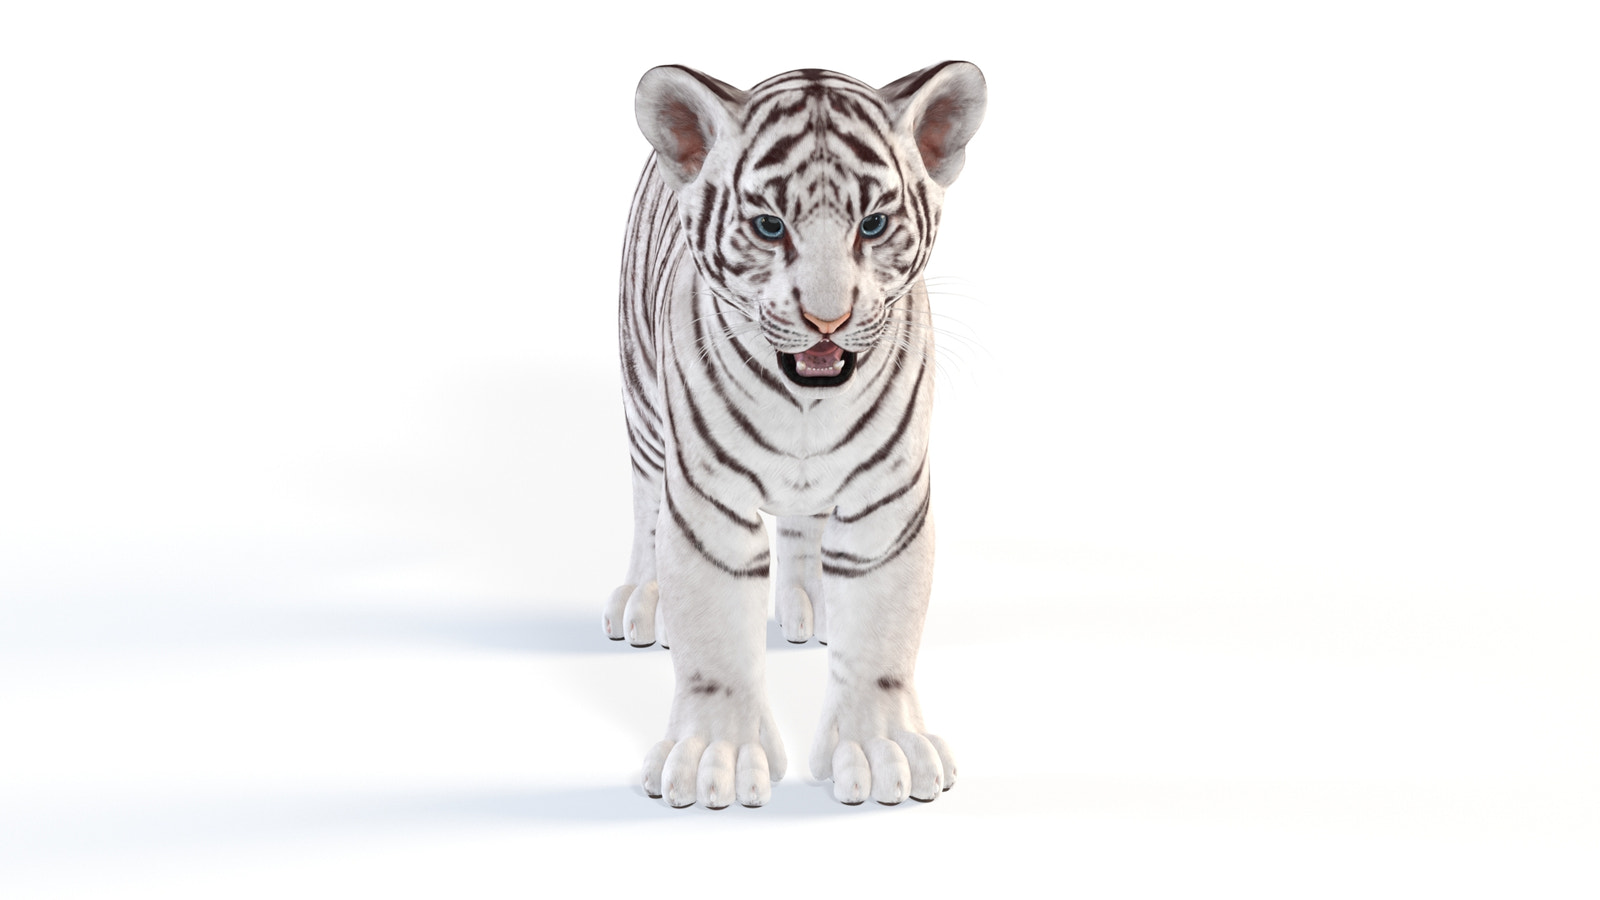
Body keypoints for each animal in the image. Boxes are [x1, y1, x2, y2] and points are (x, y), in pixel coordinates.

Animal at [602, 61, 986, 808]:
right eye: (768, 226)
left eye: (873, 224)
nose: (827, 321)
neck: (808, 405)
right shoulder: (709, 504)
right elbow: (714, 636)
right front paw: (714, 758)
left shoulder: (887, 502)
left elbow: (883, 633)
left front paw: (881, 750)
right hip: (644, 405)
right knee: (644, 504)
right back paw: (644, 600)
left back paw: (811, 604)